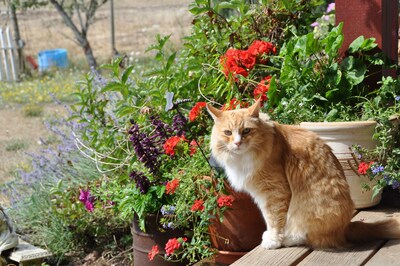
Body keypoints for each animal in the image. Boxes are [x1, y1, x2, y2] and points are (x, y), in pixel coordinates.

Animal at [206, 100, 400, 249]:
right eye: (228, 133)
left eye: (246, 131)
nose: (237, 143)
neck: (243, 157)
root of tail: (346, 226)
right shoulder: (260, 195)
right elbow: (268, 218)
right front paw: (270, 235)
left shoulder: (274, 192)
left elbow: (274, 218)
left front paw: (274, 240)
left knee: (312, 236)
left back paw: (289, 239)